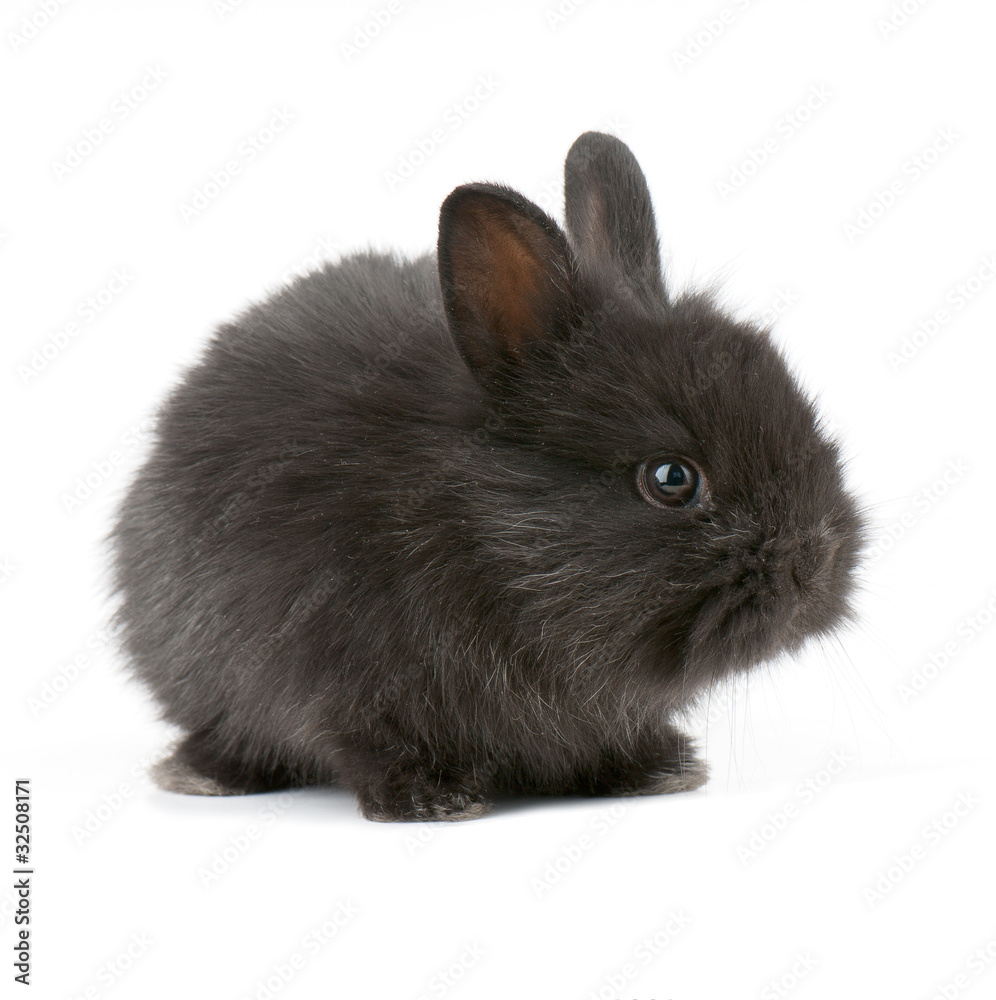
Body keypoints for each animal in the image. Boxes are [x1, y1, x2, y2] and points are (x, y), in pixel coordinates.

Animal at [111, 131, 864, 821]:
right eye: (671, 478)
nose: (815, 562)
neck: (478, 531)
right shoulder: (340, 681)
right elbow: (368, 742)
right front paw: (431, 799)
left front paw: (654, 771)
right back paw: (204, 774)